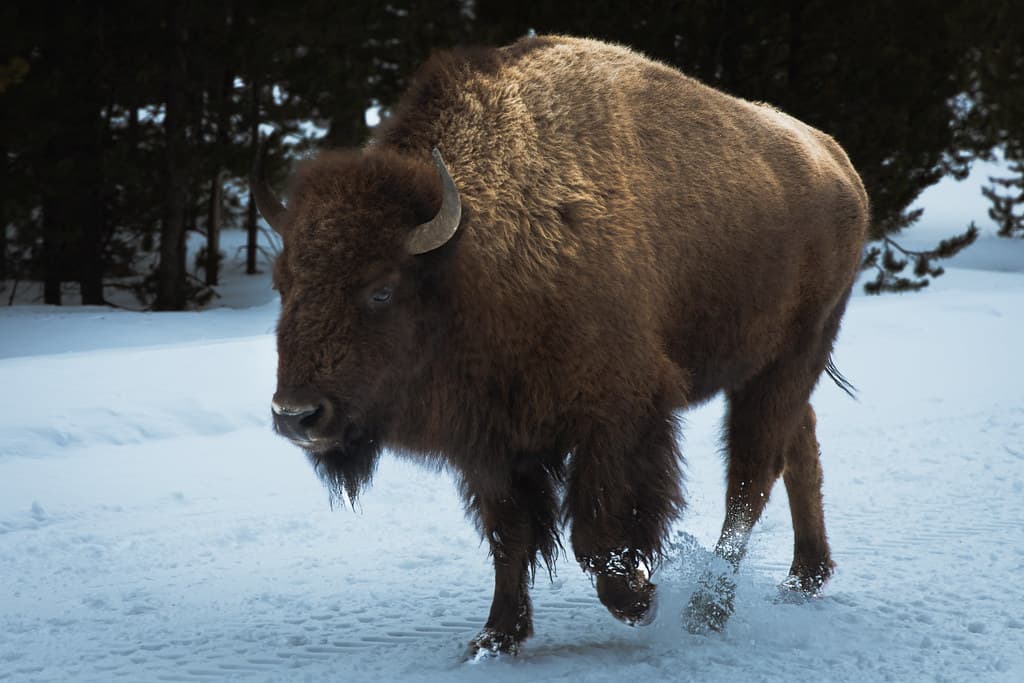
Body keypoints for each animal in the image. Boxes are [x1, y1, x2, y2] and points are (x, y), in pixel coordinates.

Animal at [254, 35, 869, 657]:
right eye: (282, 283)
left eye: (381, 289)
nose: (296, 415)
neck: (471, 256)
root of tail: (837, 161)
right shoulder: (493, 445)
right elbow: (509, 537)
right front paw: (495, 639)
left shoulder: (619, 418)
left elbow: (596, 538)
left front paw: (640, 602)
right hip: (771, 370)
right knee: (798, 450)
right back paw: (804, 576)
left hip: (789, 360)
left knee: (749, 481)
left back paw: (707, 613)